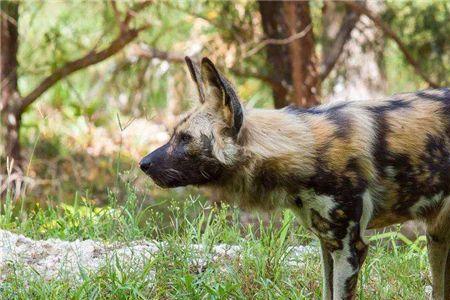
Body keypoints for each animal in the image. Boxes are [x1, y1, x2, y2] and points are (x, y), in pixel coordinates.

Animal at [141, 57, 450, 298]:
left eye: (185, 138)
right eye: (174, 134)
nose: (143, 164)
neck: (303, 149)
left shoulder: (350, 249)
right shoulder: (328, 245)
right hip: (437, 238)